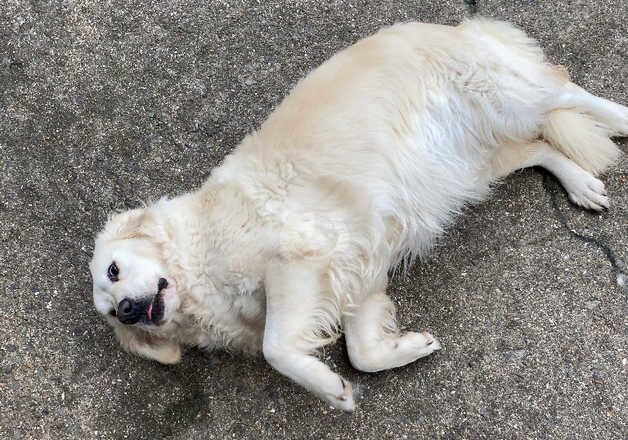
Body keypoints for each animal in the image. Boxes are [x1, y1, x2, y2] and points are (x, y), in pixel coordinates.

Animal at [91, 17, 624, 410]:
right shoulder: (354, 273)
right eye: (110, 311)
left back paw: (618, 117)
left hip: (503, 97)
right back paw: (581, 185)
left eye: (114, 270)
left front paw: (329, 389)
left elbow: (276, 348)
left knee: (565, 90)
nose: (128, 309)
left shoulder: (299, 254)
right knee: (540, 147)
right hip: (469, 168)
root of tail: (450, 23)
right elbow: (362, 352)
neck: (198, 253)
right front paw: (406, 348)